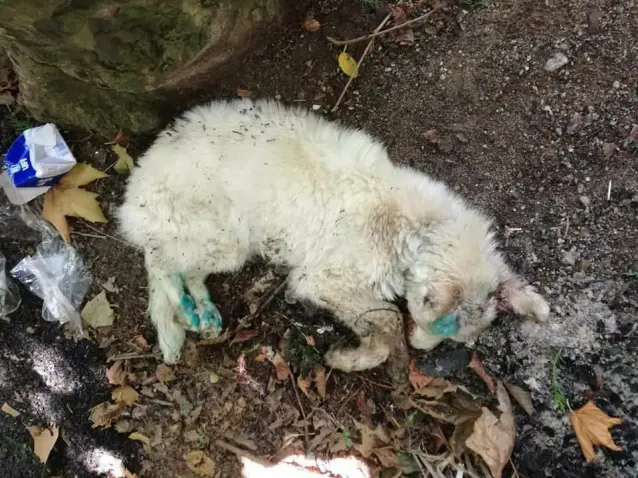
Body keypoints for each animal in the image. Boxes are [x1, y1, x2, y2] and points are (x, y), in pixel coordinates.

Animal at [119, 101, 552, 378]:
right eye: (443, 330)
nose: (421, 349)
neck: (414, 225)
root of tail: (136, 185)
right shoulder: (322, 280)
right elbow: (389, 317)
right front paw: (353, 359)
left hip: (219, 245)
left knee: (180, 267)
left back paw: (203, 313)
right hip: (221, 236)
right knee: (159, 263)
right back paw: (183, 311)